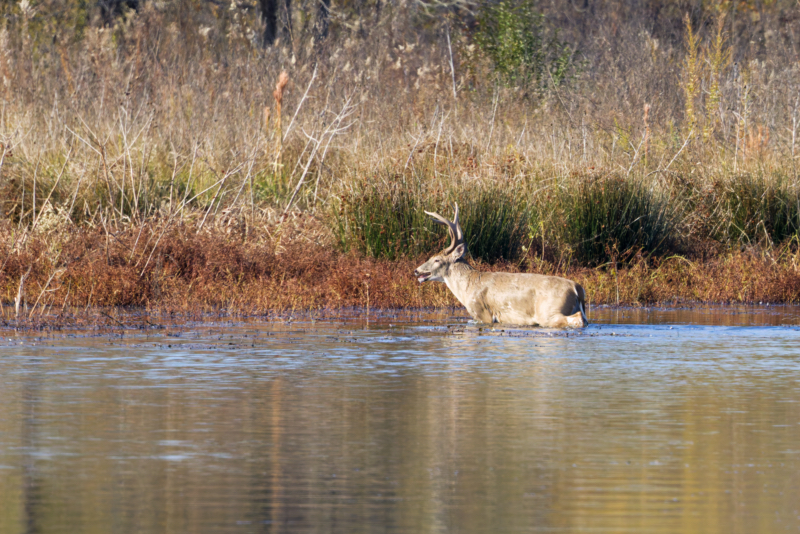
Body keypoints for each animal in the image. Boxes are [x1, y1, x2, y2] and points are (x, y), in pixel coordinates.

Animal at [412, 206, 588, 328]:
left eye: (436, 259)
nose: (416, 270)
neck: (468, 286)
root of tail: (576, 288)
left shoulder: (482, 312)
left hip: (549, 310)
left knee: (576, 318)